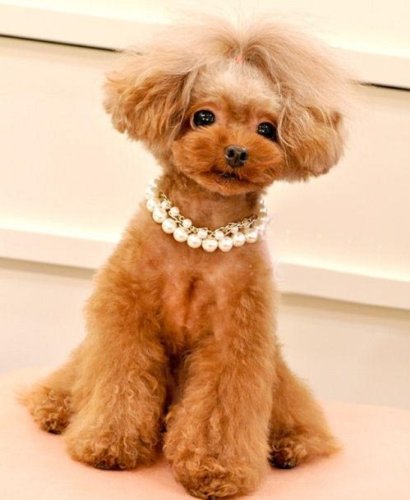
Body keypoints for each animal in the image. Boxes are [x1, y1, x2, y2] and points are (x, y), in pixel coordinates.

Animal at [23, 17, 347, 499]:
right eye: (204, 117)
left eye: (266, 129)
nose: (236, 151)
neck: (203, 230)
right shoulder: (128, 317)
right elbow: (120, 382)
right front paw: (108, 445)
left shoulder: (235, 337)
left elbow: (219, 409)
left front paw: (216, 470)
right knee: (74, 376)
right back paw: (56, 409)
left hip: (278, 372)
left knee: (299, 414)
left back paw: (289, 446)